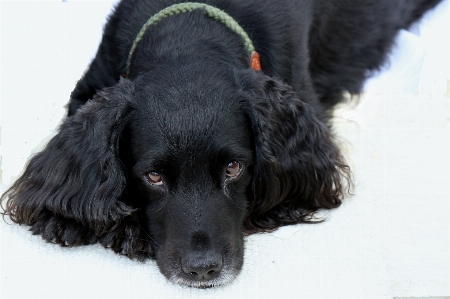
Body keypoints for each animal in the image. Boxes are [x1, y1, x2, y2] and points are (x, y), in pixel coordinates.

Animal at [0, 0, 442, 290]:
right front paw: (69, 218)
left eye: (234, 168)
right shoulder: (92, 84)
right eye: (153, 176)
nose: (203, 269)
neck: (190, 34)